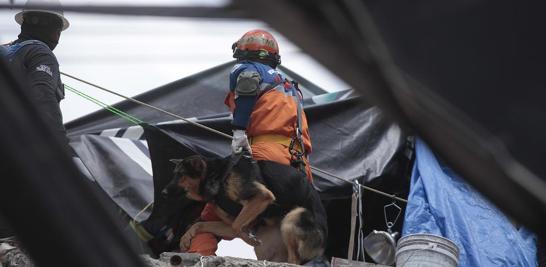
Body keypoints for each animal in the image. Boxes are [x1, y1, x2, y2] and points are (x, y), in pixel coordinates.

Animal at [170, 154, 326, 264]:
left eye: (180, 175)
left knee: (295, 260)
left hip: (294, 216)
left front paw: (249, 239)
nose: (165, 192)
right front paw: (186, 237)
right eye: (175, 174)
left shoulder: (261, 196)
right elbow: (202, 224)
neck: (217, 175)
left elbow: (236, 225)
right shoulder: (231, 222)